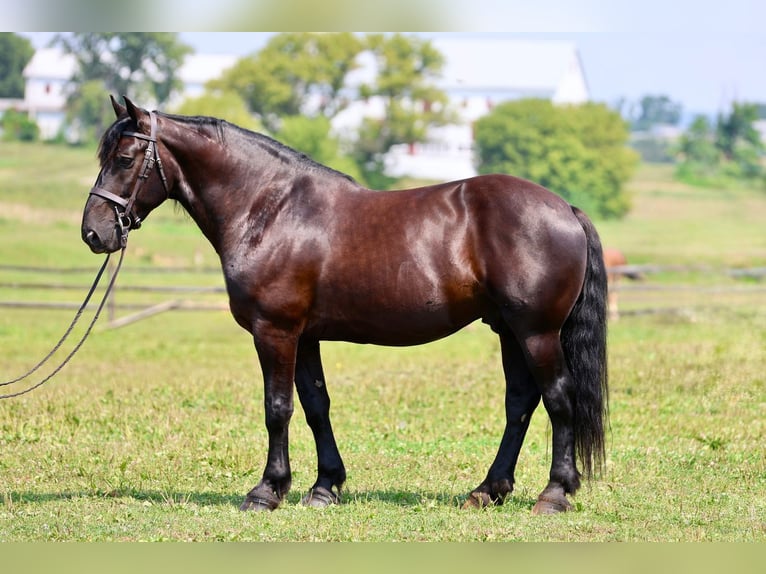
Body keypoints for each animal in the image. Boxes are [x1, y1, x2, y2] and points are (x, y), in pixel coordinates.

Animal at [81, 96, 608, 515]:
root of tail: (564, 208)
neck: (269, 209)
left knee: (558, 398)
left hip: (536, 332)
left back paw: (554, 494)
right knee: (520, 402)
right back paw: (487, 490)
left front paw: (266, 491)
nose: (94, 232)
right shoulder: (305, 335)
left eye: (124, 158)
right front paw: (324, 487)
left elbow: (277, 408)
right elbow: (316, 406)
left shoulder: (275, 331)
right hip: (508, 330)